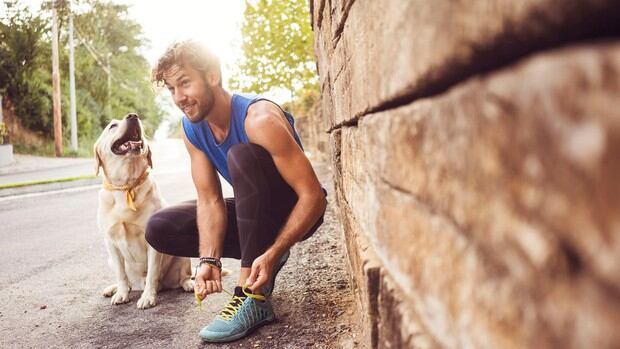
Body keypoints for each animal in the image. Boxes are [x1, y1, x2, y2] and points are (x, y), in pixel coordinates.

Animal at [92, 111, 191, 308]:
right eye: (112, 126)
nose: (133, 116)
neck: (126, 186)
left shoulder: (151, 241)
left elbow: (152, 272)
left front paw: (148, 297)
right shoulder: (110, 242)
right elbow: (121, 274)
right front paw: (121, 293)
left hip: (182, 256)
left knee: (184, 276)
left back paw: (189, 284)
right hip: (110, 260)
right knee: (128, 280)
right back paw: (114, 288)